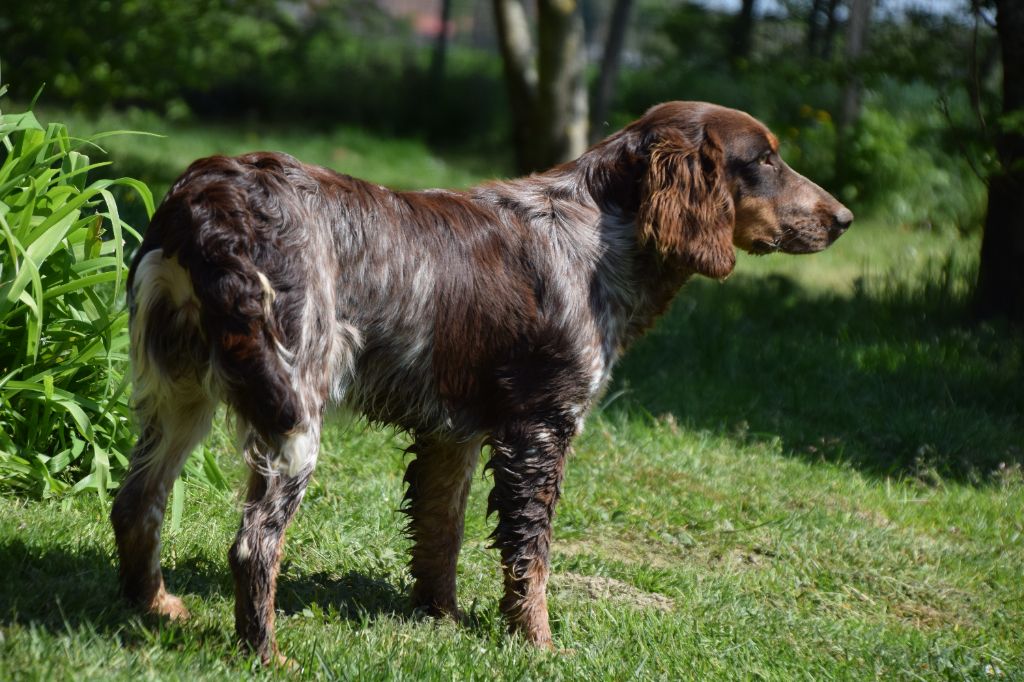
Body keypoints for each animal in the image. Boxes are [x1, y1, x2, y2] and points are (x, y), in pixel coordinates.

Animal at [108, 100, 851, 659]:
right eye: (766, 159)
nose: (843, 219)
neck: (600, 233)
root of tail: (205, 197)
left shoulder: (453, 434)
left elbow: (442, 534)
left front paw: (442, 619)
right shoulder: (540, 429)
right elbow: (531, 559)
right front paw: (539, 645)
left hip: (182, 395)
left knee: (137, 501)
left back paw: (155, 607)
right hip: (294, 411)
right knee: (254, 544)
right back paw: (266, 654)